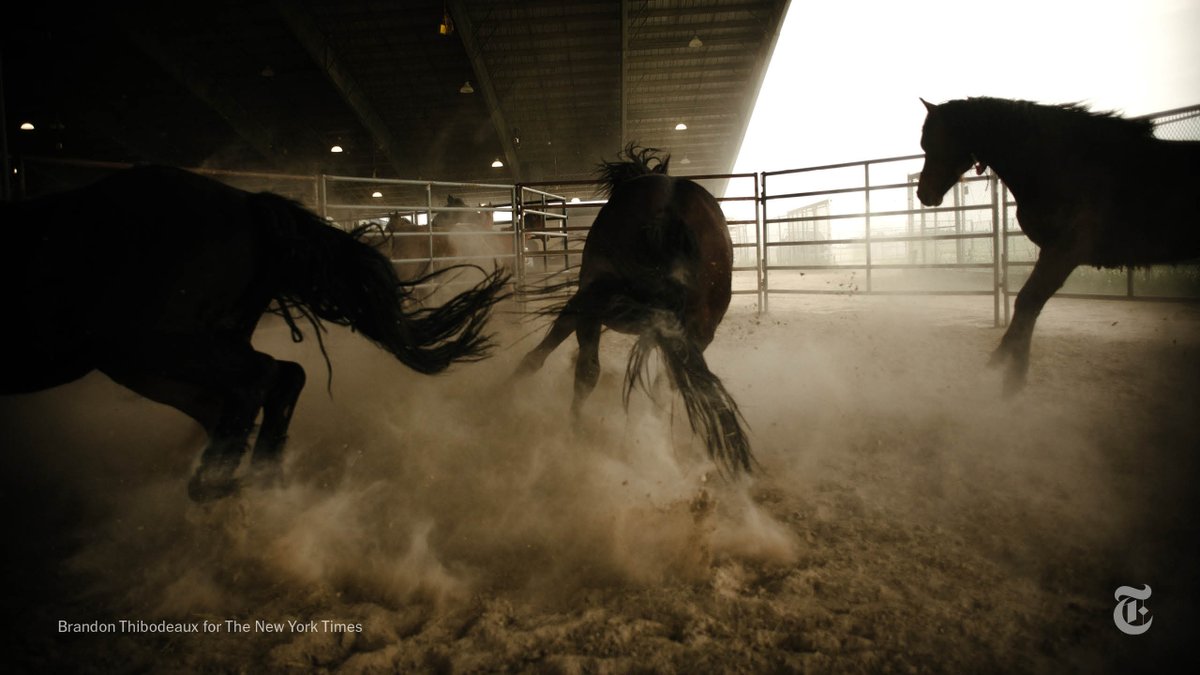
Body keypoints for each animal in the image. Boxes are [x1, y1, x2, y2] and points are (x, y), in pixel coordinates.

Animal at [916, 98, 1200, 393]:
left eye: (932, 143)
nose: (923, 193)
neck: (1064, 164)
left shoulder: (1063, 252)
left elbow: (1028, 302)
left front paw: (1009, 374)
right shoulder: (1053, 252)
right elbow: (1029, 304)